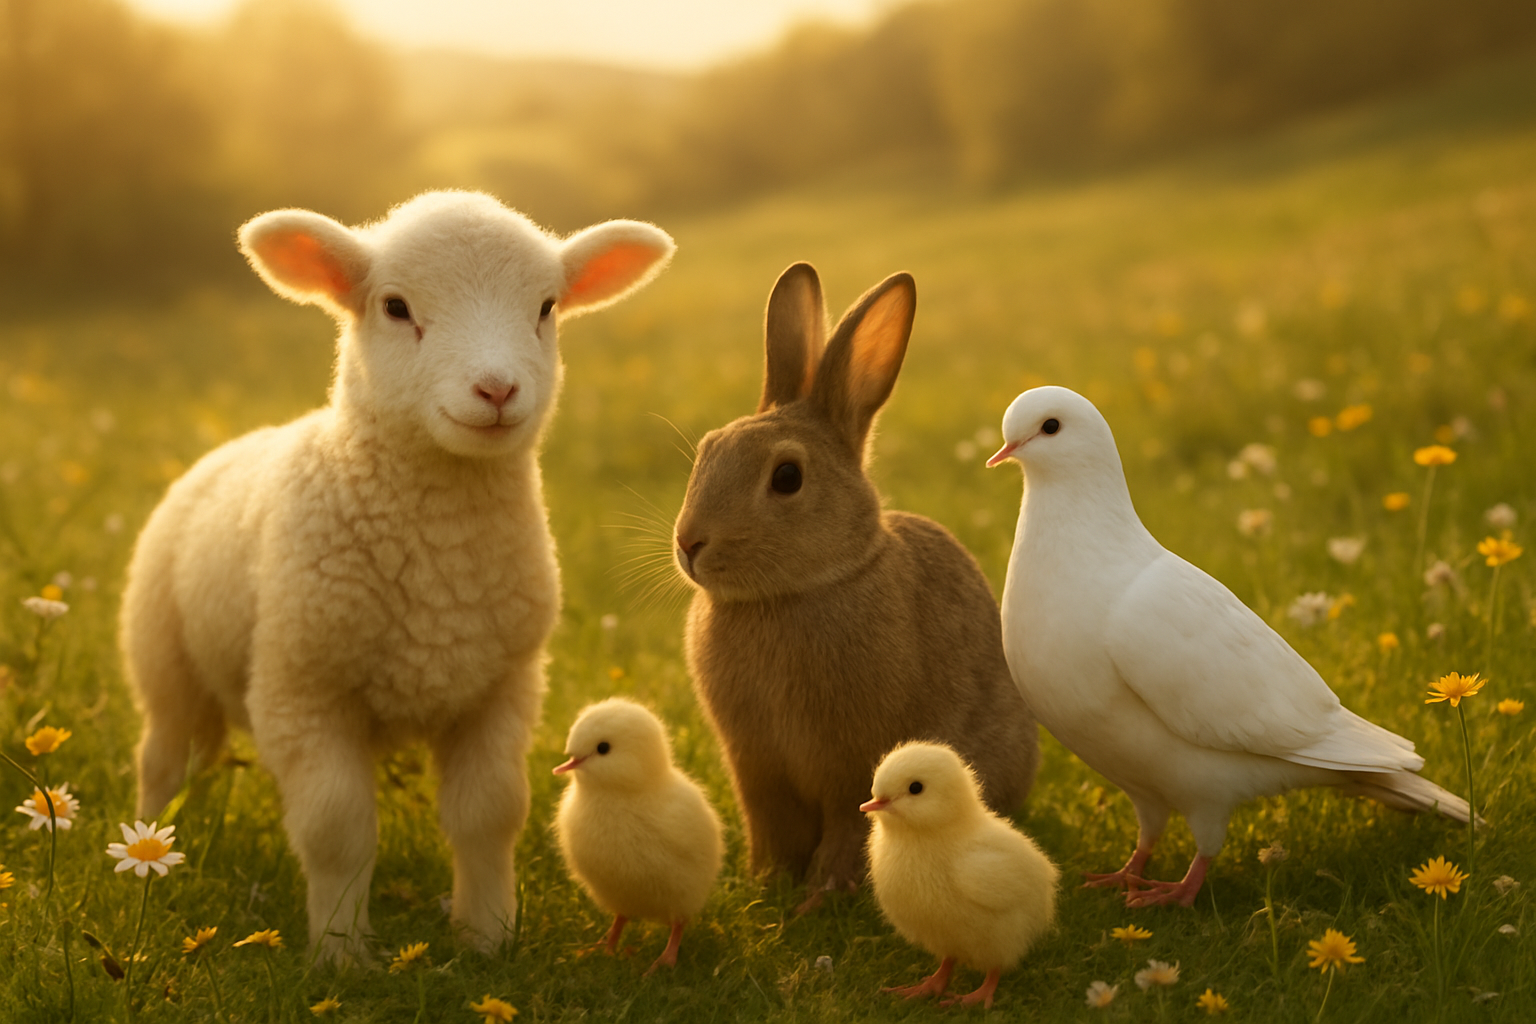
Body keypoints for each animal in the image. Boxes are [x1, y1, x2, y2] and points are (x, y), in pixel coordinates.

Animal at [119, 190, 675, 963]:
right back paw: (153, 849)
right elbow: (336, 830)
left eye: (546, 307)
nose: (497, 389)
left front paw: (487, 936)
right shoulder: (304, 691)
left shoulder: (502, 690)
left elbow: (489, 816)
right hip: (164, 661)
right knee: (164, 758)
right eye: (394, 306)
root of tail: (236, 444)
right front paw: (341, 954)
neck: (440, 547)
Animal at [673, 262, 1040, 908]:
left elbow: (848, 823)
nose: (689, 543)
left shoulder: (851, 764)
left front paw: (821, 894)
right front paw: (766, 882)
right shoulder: (756, 768)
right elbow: (772, 825)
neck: (789, 594)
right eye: (709, 450)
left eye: (787, 477)